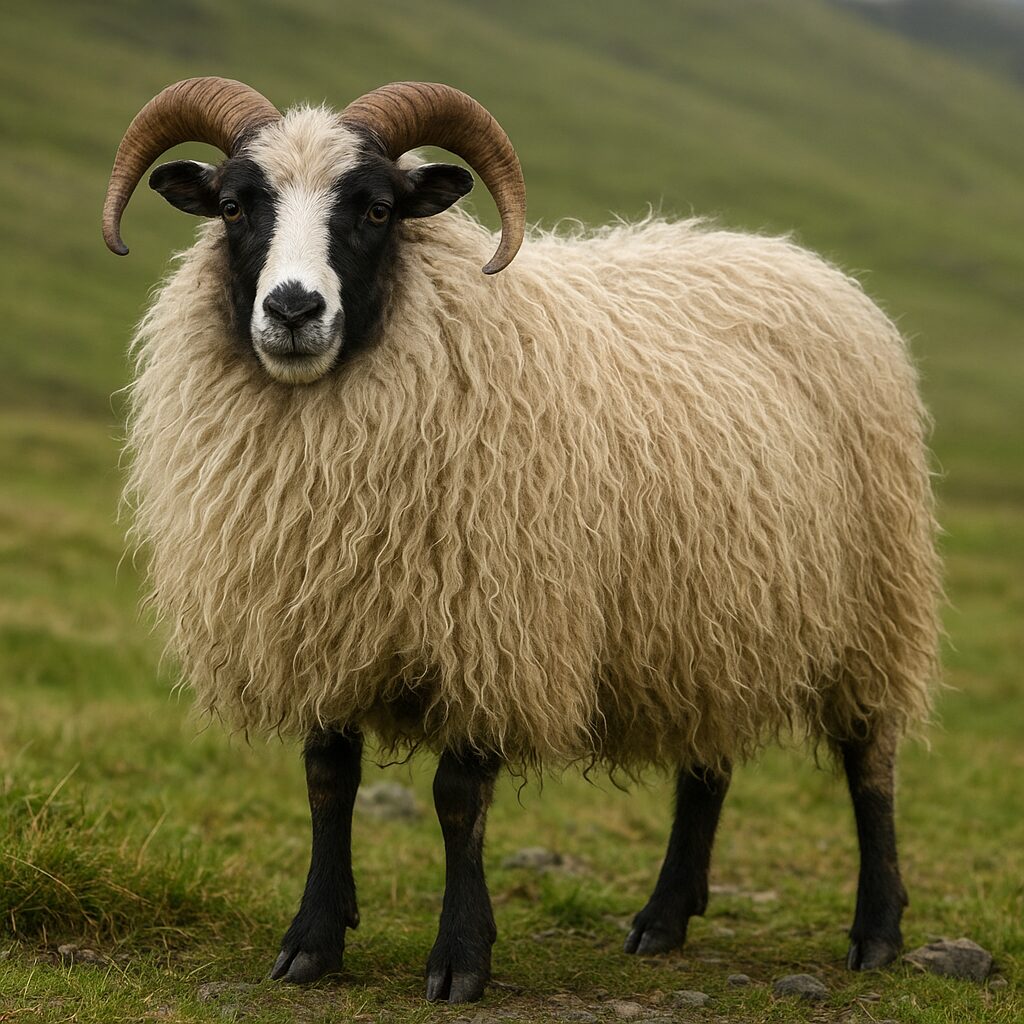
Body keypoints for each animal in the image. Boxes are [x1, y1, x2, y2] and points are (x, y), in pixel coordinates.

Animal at [103, 77, 941, 1003]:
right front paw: (312, 943)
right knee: (705, 764)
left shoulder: (494, 625)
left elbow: (457, 798)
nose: (293, 309)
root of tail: (797, 259)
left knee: (871, 764)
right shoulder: (323, 621)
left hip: (873, 600)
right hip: (707, 609)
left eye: (378, 208)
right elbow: (327, 781)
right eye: (231, 205)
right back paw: (663, 919)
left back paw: (877, 930)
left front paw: (460, 959)